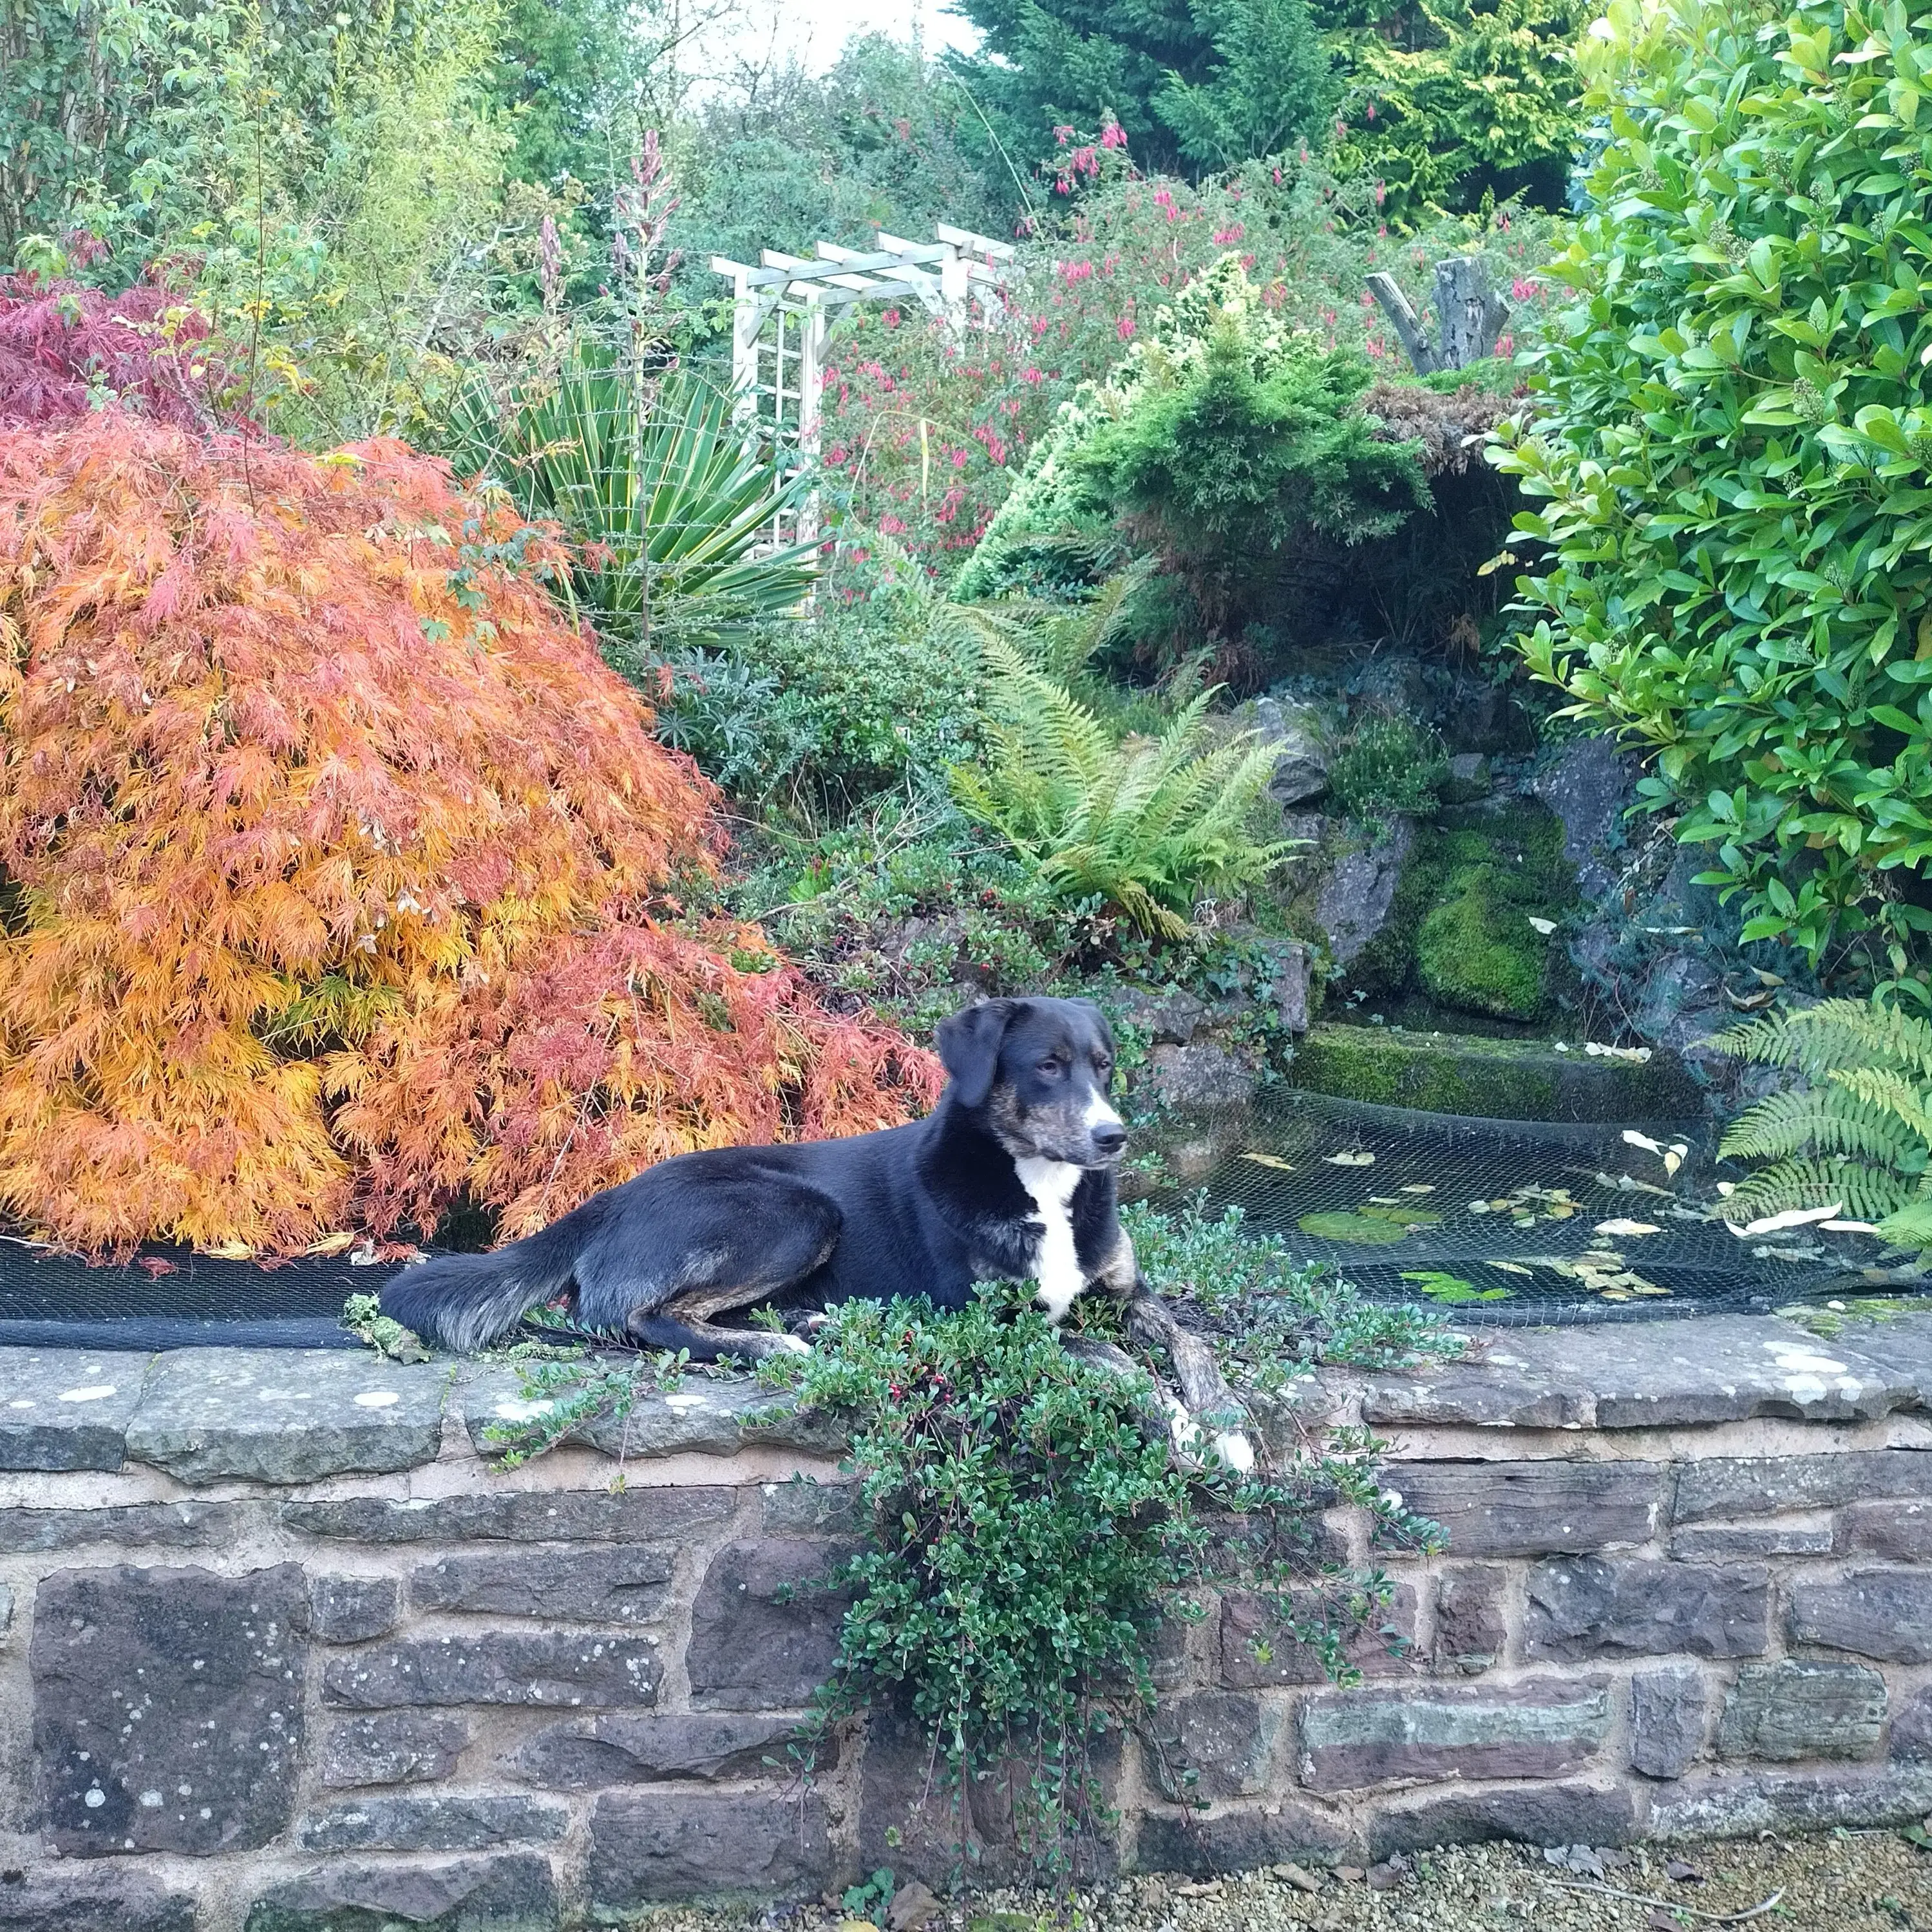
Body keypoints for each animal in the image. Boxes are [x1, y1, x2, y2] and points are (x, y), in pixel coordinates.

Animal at [381, 997, 1252, 1461]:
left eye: (1104, 1066)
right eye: (1047, 1065)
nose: (1114, 1137)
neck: (1039, 1186)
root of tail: (611, 1195)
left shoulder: (1127, 1293)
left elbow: (1192, 1344)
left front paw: (1228, 1427)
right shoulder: (993, 1321)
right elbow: (1118, 1360)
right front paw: (1184, 1429)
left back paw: (812, 1321)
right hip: (797, 1210)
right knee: (626, 1316)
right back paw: (776, 1344)